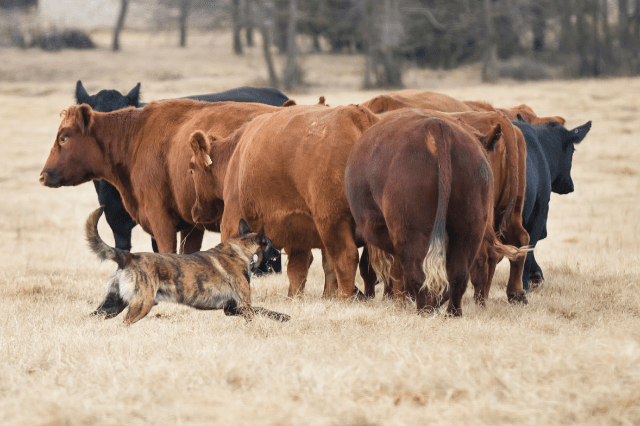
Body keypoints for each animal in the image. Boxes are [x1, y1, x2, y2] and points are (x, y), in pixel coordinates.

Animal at [84, 206, 288, 322]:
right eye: (271, 246)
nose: (280, 253)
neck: (241, 251)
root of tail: (129, 256)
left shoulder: (232, 309)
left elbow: (264, 310)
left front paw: (283, 316)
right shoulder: (245, 306)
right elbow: (263, 312)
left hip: (110, 306)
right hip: (141, 304)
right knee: (125, 322)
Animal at [190, 104, 380, 300]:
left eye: (191, 169)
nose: (195, 211)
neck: (236, 154)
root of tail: (355, 114)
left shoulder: (231, 223)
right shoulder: (298, 236)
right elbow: (298, 271)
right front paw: (295, 297)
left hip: (332, 221)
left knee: (346, 257)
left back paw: (344, 300)